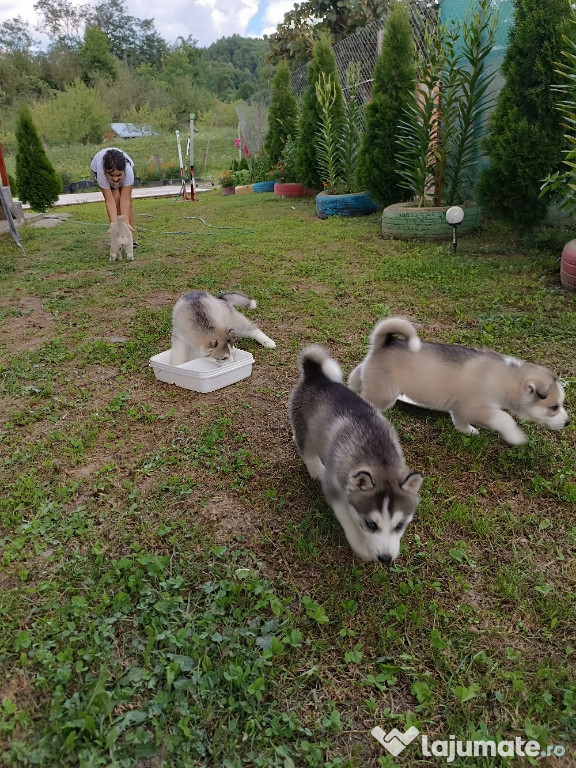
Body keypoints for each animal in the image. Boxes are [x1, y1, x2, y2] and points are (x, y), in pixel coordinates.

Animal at [288, 344, 424, 560]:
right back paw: (315, 468)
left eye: (399, 525)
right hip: (305, 425)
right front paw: (361, 545)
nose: (385, 558)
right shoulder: (334, 485)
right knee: (306, 449)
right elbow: (347, 517)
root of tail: (315, 375)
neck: (378, 456)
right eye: (371, 524)